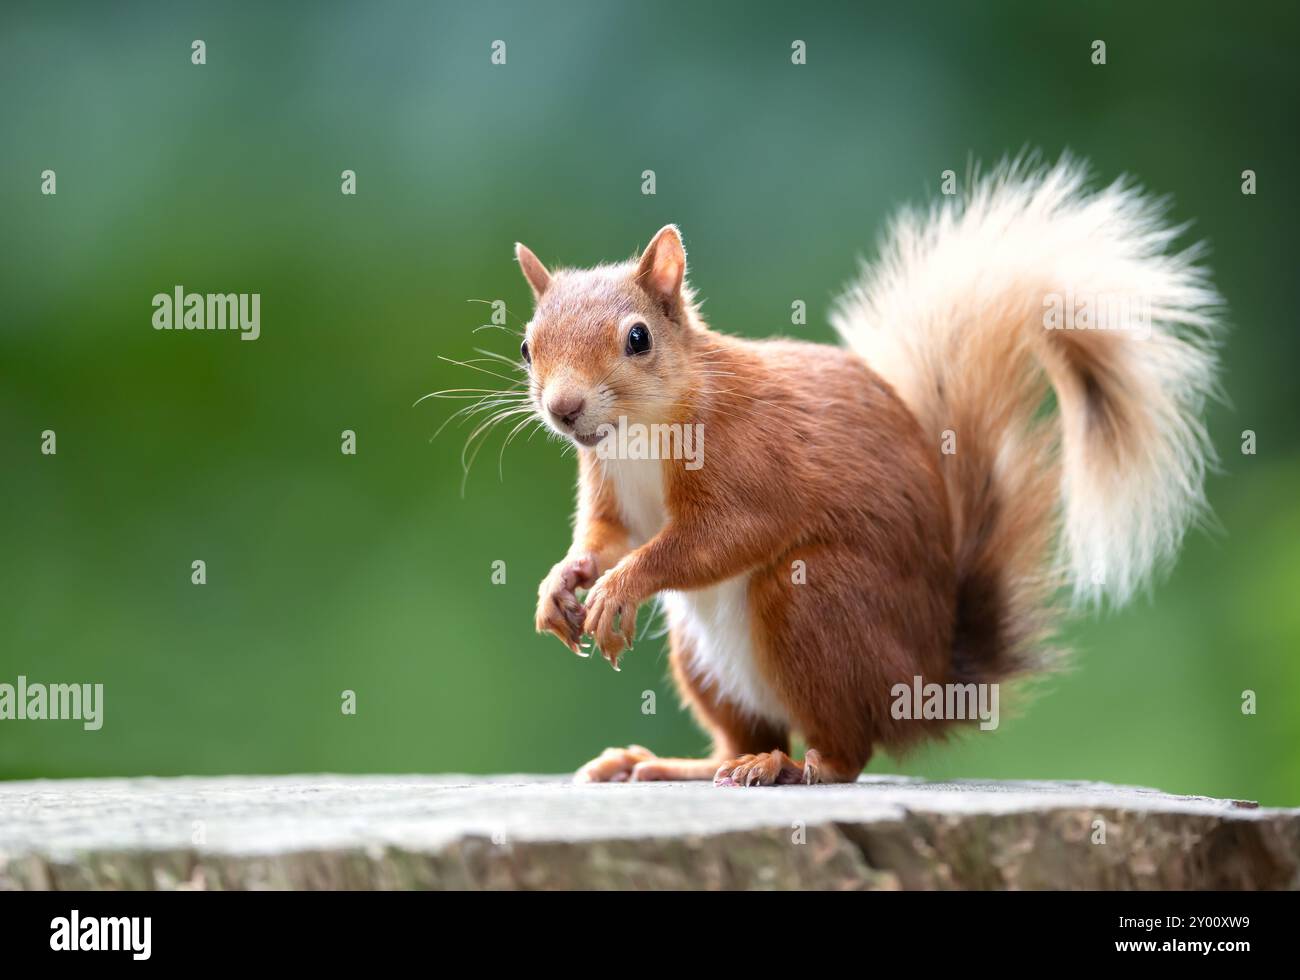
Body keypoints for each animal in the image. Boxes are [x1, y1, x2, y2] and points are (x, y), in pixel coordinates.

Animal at [514, 158, 1220, 786]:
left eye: (638, 338)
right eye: (526, 344)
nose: (564, 409)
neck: (639, 433)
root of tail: (930, 685)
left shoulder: (750, 461)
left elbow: (724, 536)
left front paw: (622, 587)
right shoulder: (611, 489)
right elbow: (609, 538)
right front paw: (562, 583)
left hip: (815, 602)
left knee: (847, 748)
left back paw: (792, 767)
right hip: (702, 656)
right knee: (741, 737)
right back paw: (674, 764)